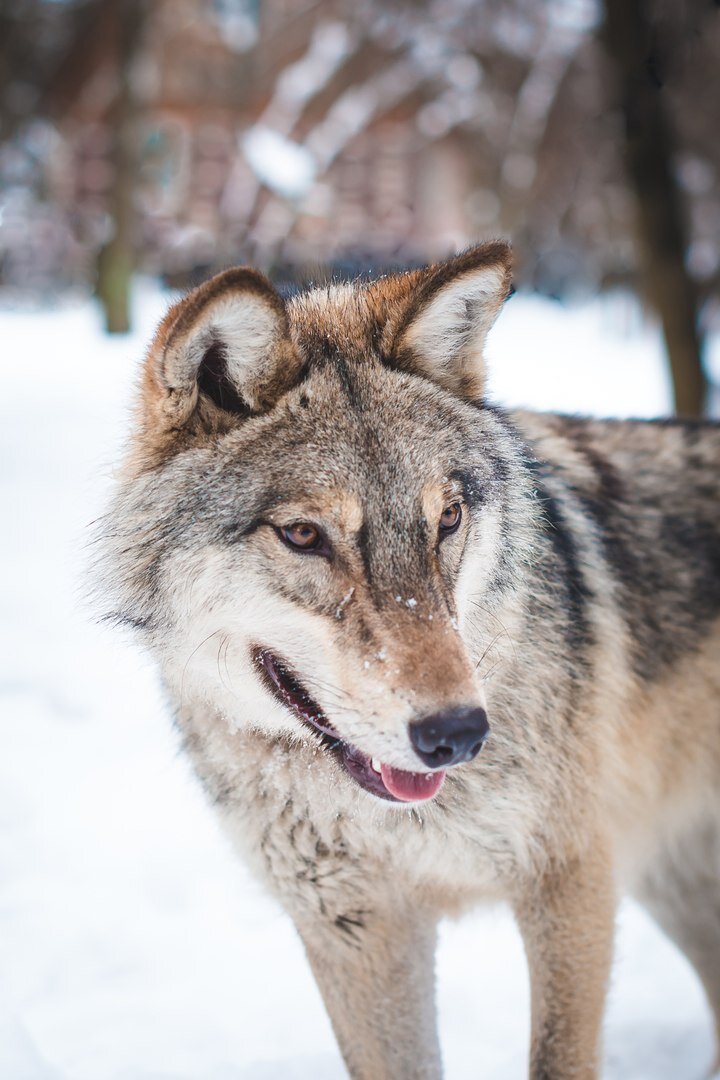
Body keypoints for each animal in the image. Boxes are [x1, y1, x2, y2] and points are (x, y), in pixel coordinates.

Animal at [99, 245, 720, 1080]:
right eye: (304, 535)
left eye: (447, 520)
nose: (458, 734)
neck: (390, 825)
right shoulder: (354, 929)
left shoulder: (571, 883)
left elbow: (557, 1056)